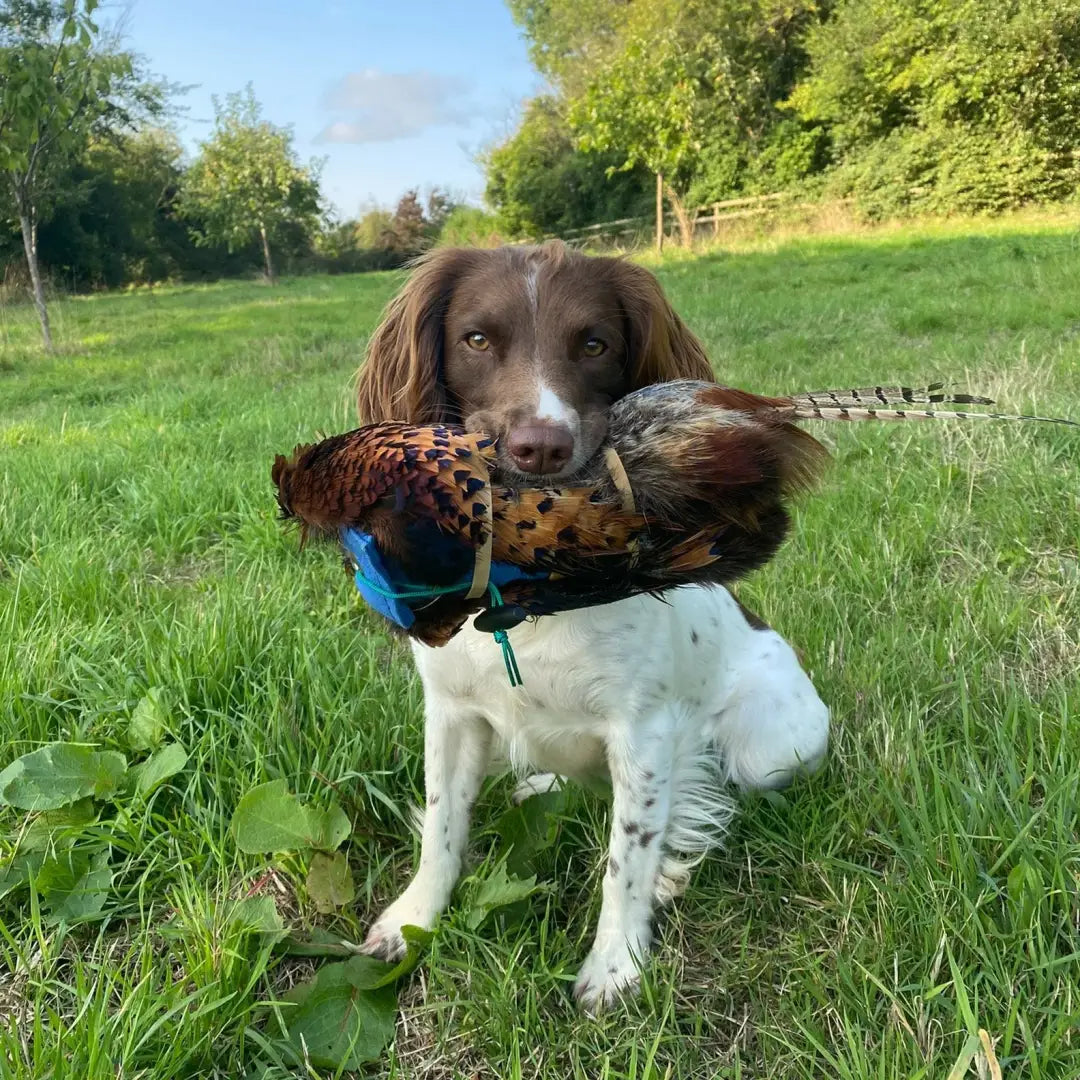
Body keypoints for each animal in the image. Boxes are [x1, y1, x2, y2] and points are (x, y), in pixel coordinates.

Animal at [352, 240, 825, 1006]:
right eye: (476, 339)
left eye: (595, 344)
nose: (539, 448)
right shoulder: (449, 711)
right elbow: (443, 827)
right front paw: (412, 921)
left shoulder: (644, 730)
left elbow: (625, 856)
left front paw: (616, 964)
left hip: (770, 752)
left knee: (714, 791)